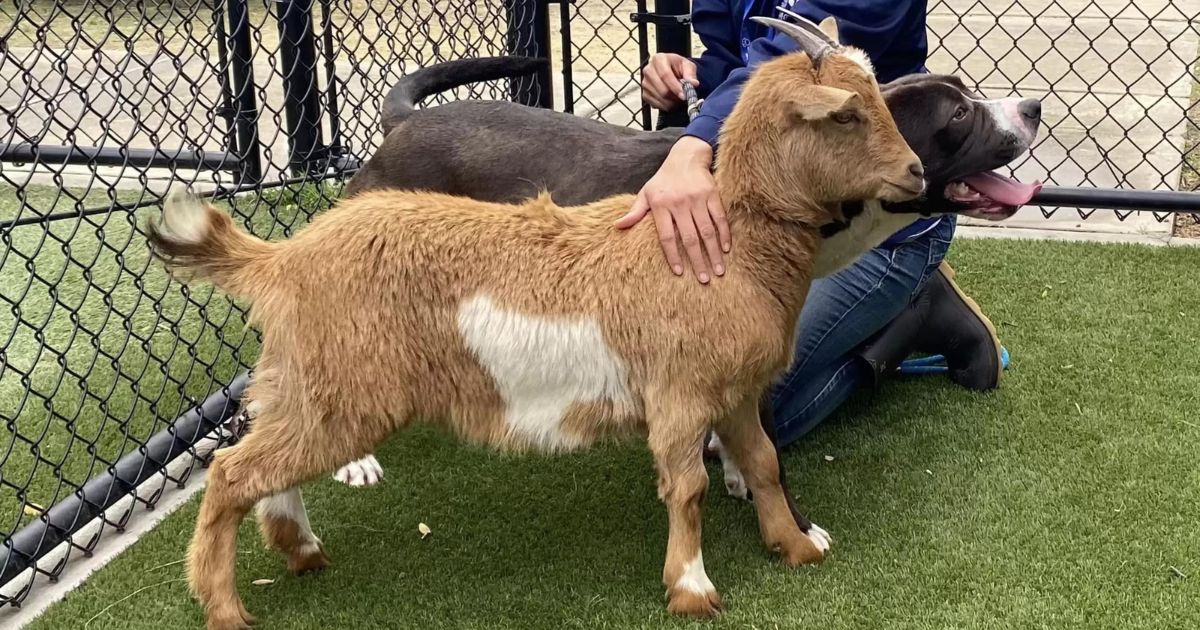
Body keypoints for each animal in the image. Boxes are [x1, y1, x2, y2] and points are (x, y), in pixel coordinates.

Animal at [147, 17, 916, 624]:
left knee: (257, 449)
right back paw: (226, 607)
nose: (913, 172)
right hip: (345, 393)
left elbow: (762, 462)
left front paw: (796, 545)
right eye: (846, 114)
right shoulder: (680, 395)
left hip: (309, 379)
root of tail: (282, 258)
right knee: (230, 473)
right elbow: (687, 488)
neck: (728, 240)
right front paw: (693, 590)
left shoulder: (733, 393)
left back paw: (299, 547)